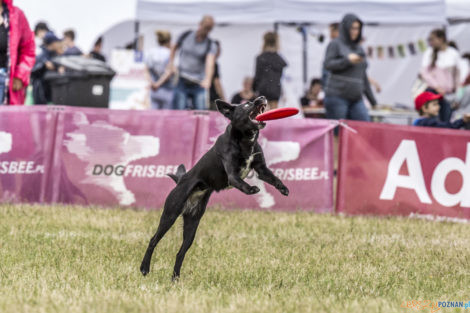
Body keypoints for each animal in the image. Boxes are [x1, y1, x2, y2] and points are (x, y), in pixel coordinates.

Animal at [140, 96, 288, 280]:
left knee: (180, 253)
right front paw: (252, 189)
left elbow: (273, 178)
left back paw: (175, 278)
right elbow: (241, 183)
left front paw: (283, 188)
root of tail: (181, 181)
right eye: (247, 103)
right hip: (170, 215)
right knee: (153, 240)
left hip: (192, 225)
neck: (246, 140)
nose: (262, 97)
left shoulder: (261, 169)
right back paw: (144, 268)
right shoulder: (232, 174)